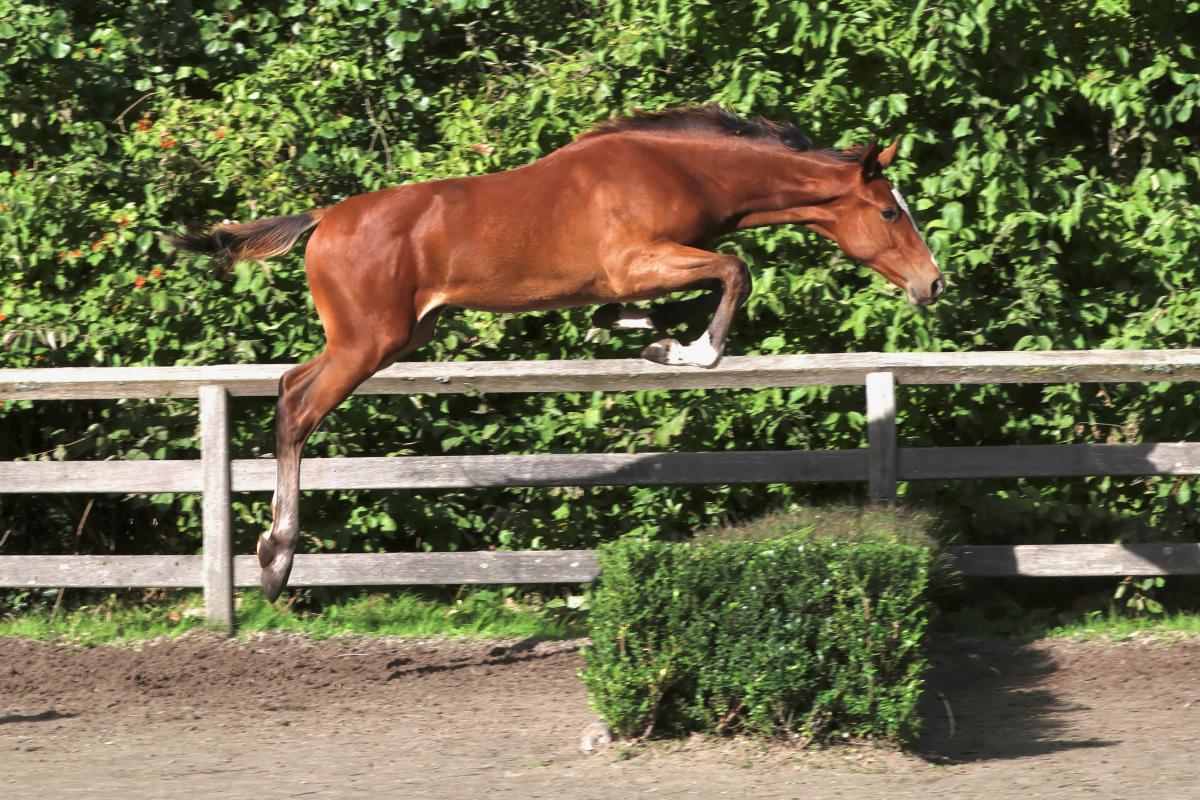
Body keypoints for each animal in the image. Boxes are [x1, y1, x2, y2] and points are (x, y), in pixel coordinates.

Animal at [167, 104, 944, 601]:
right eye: (889, 212)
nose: (933, 283)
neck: (682, 169)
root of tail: (324, 217)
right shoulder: (639, 261)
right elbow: (734, 271)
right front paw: (679, 349)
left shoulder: (635, 275)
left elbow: (645, 301)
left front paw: (639, 333)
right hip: (367, 342)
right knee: (297, 410)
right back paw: (276, 561)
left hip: (391, 338)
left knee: (288, 384)